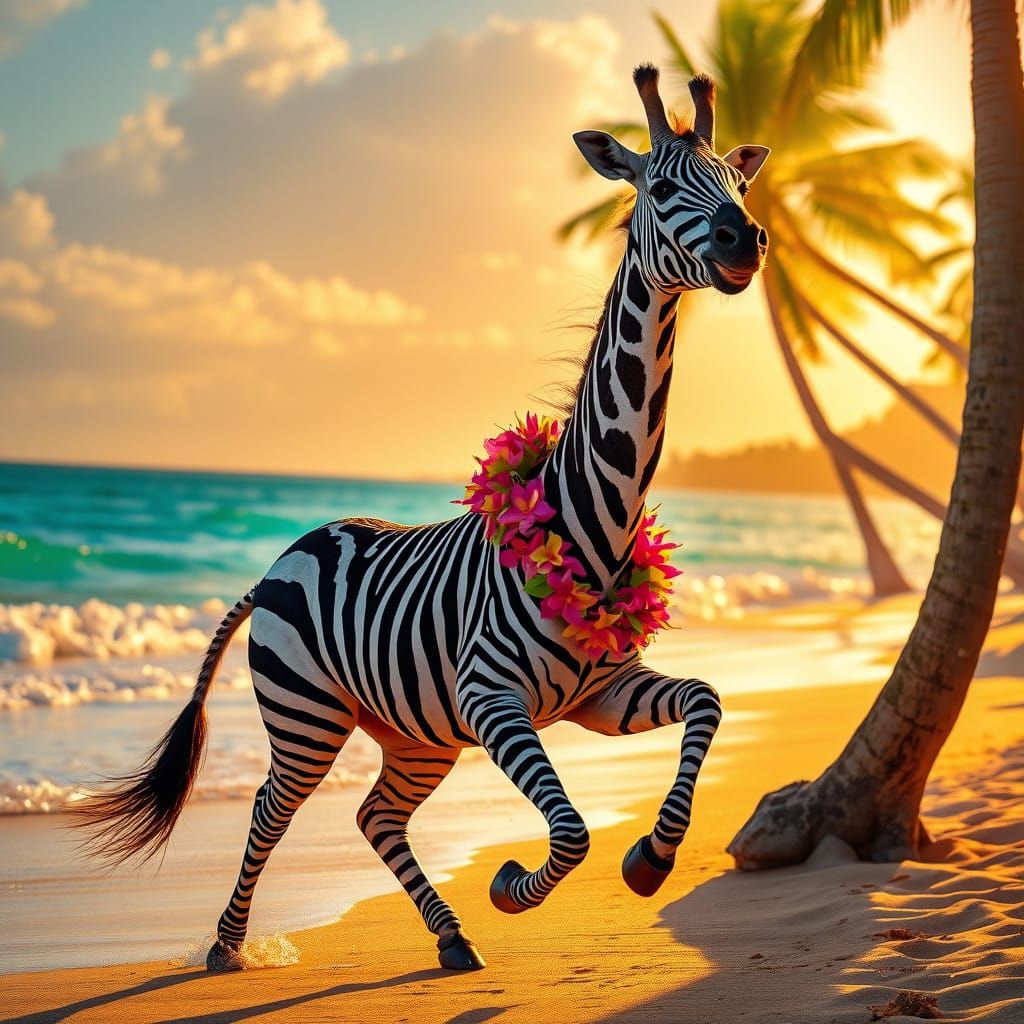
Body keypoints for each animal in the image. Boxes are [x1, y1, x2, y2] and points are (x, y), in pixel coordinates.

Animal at [72, 64, 770, 973]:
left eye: (738, 183)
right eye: (659, 189)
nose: (745, 240)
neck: (593, 518)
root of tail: (281, 560)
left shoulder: (604, 691)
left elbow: (708, 702)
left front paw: (651, 857)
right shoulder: (491, 696)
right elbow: (572, 832)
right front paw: (511, 887)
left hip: (416, 734)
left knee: (375, 815)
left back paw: (449, 936)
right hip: (308, 715)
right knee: (270, 808)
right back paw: (228, 946)